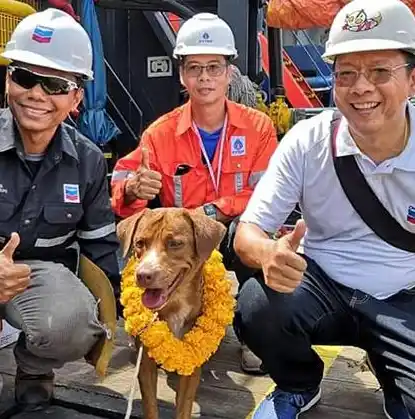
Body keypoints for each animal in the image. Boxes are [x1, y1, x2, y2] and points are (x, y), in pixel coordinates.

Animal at [117, 209, 228, 419]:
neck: (175, 305)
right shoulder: (146, 365)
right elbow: (150, 404)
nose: (143, 275)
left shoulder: (192, 359)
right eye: (139, 243)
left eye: (175, 243)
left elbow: (184, 405)